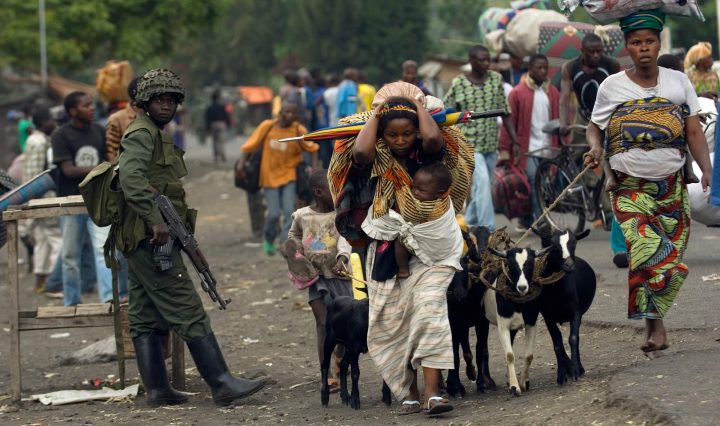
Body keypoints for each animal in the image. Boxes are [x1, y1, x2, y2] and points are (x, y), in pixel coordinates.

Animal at [482, 246, 549, 396]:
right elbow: (509, 355)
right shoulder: (503, 327)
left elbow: (529, 355)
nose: (522, 287)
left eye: (530, 264)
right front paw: (514, 387)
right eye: (511, 265)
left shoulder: (531, 323)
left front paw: (523, 383)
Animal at [534, 228, 596, 385]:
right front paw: (561, 375)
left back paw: (578, 368)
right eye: (553, 246)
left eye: (574, 243)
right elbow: (557, 343)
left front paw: (575, 371)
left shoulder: (576, 312)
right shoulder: (547, 316)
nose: (569, 265)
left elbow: (573, 338)